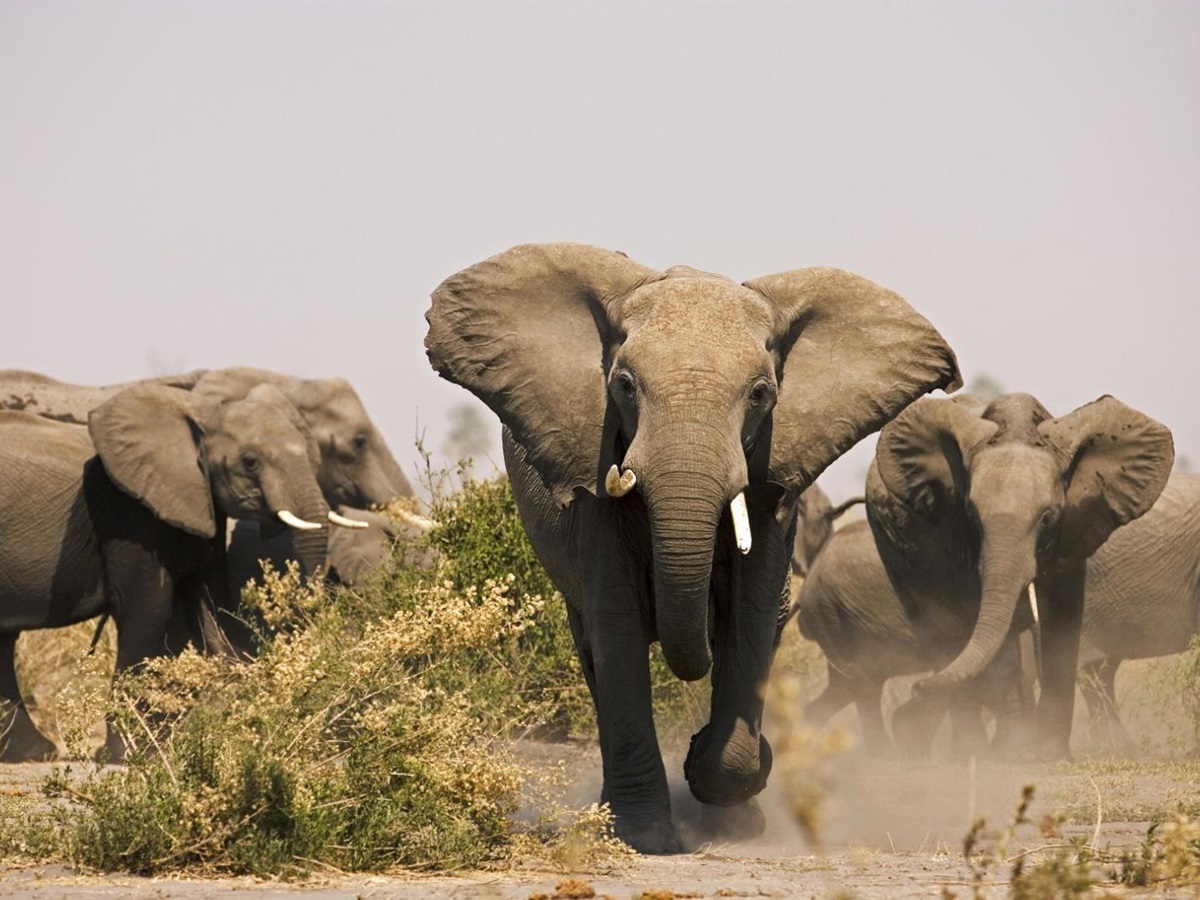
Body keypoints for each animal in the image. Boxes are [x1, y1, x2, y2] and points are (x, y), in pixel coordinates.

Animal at [0, 382, 346, 762]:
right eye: (250, 462)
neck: (204, 412)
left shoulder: (198, 507)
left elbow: (206, 611)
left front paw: (165, 747)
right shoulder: (131, 514)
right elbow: (149, 611)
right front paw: (130, 756)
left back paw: (32, 754)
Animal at [424, 242, 961, 853]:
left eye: (761, 395)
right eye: (625, 386)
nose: (696, 743)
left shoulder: (771, 481)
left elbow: (750, 618)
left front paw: (729, 805)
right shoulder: (596, 478)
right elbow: (618, 628)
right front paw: (646, 836)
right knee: (593, 651)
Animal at [864, 391, 1173, 758]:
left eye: (1047, 517)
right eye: (971, 513)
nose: (915, 691)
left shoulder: (1074, 527)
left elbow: (1062, 619)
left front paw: (1050, 755)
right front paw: (1011, 752)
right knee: (941, 630)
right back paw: (969, 750)